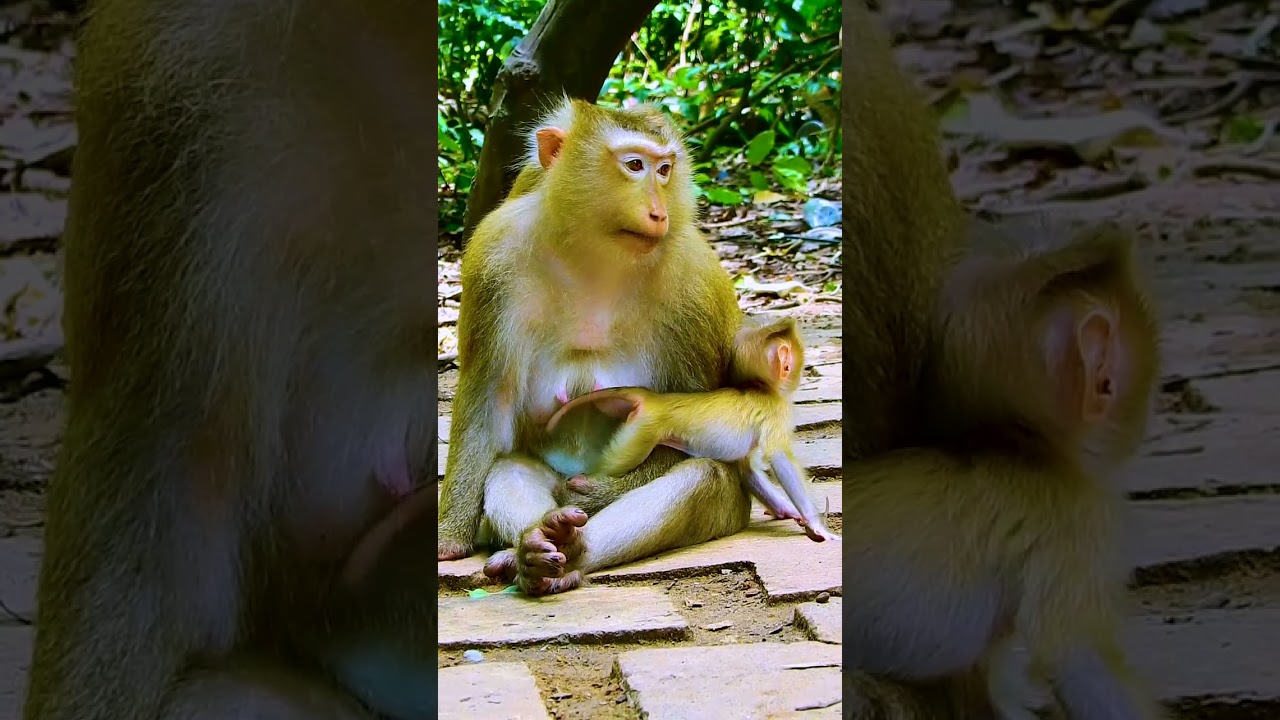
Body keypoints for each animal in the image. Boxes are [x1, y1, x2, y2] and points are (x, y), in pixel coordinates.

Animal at [544, 315, 839, 542]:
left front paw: (788, 510)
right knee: (619, 462)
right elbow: (780, 459)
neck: (760, 388)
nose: (799, 369)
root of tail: (655, 399)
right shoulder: (776, 412)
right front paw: (816, 524)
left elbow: (747, 471)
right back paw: (585, 481)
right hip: (642, 431)